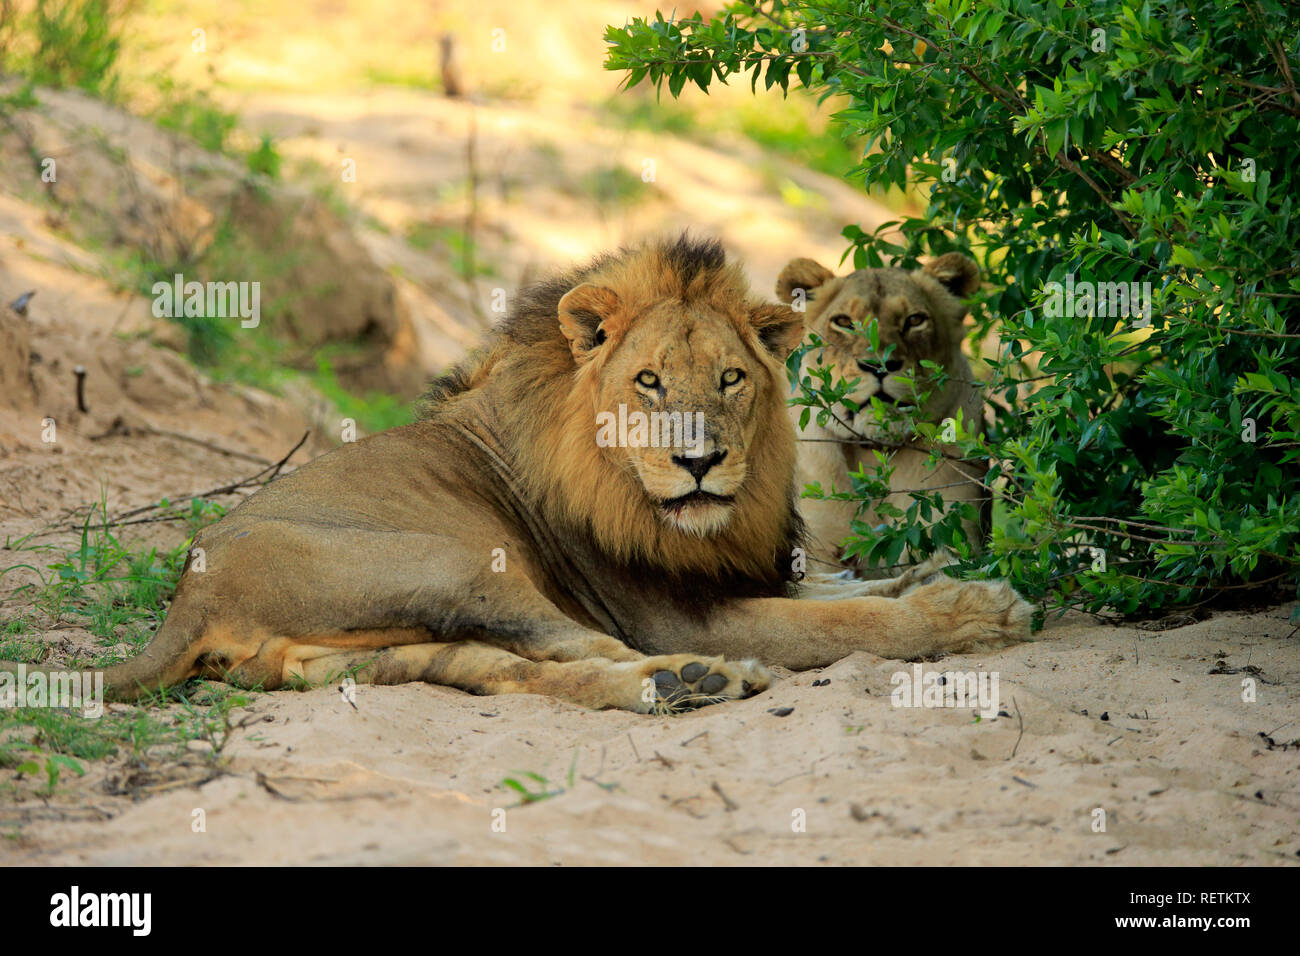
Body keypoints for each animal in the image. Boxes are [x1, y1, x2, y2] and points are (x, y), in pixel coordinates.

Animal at [774, 252, 987, 574]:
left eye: (914, 320)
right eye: (844, 322)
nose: (879, 365)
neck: (875, 454)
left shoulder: (953, 529)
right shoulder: (815, 552)